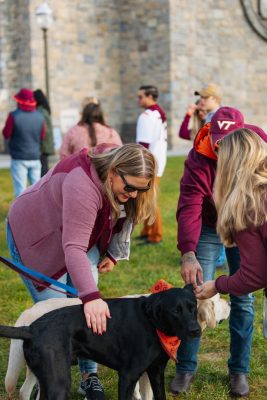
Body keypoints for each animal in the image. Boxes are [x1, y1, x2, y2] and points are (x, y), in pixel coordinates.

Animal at [4, 292, 230, 398]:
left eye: (193, 308)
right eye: (217, 300)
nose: (229, 303)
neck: (153, 319)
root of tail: (29, 321)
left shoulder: (151, 372)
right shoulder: (131, 374)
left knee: (26, 391)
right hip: (56, 378)